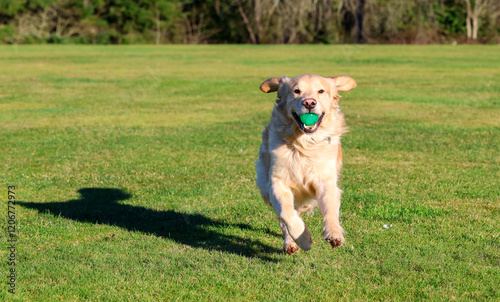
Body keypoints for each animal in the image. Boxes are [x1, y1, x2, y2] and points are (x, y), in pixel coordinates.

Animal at [256, 74, 358, 254]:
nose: (309, 103)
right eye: (296, 91)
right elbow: (287, 214)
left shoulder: (326, 182)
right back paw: (290, 244)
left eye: (321, 91)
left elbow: (331, 210)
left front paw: (334, 234)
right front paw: (303, 239)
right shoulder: (277, 183)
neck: (304, 143)